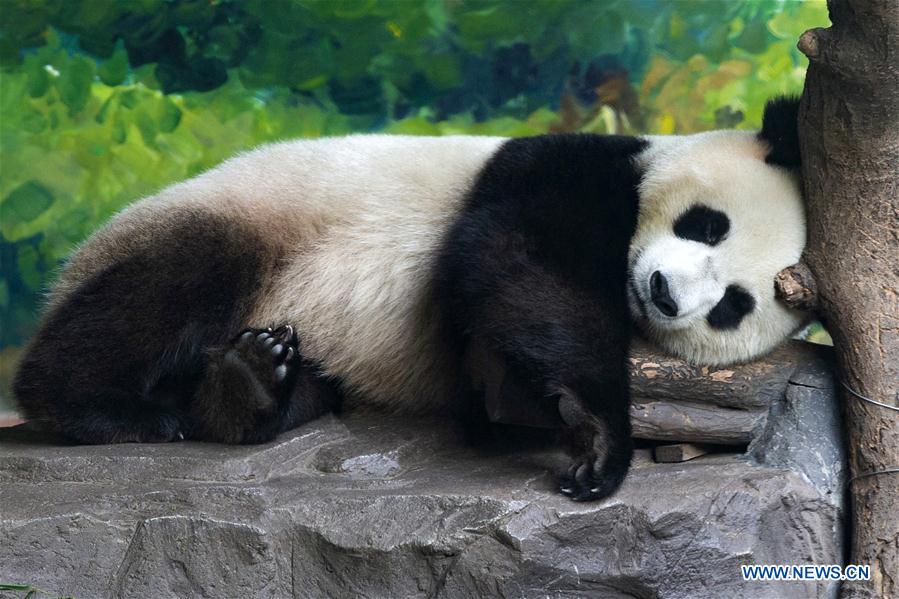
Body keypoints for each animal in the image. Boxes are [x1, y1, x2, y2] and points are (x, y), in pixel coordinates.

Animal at [10, 97, 804, 502]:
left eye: (731, 305)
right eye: (706, 223)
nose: (664, 293)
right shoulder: (568, 168)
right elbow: (519, 263)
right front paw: (602, 439)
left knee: (302, 383)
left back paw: (247, 387)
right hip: (236, 221)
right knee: (163, 286)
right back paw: (103, 407)